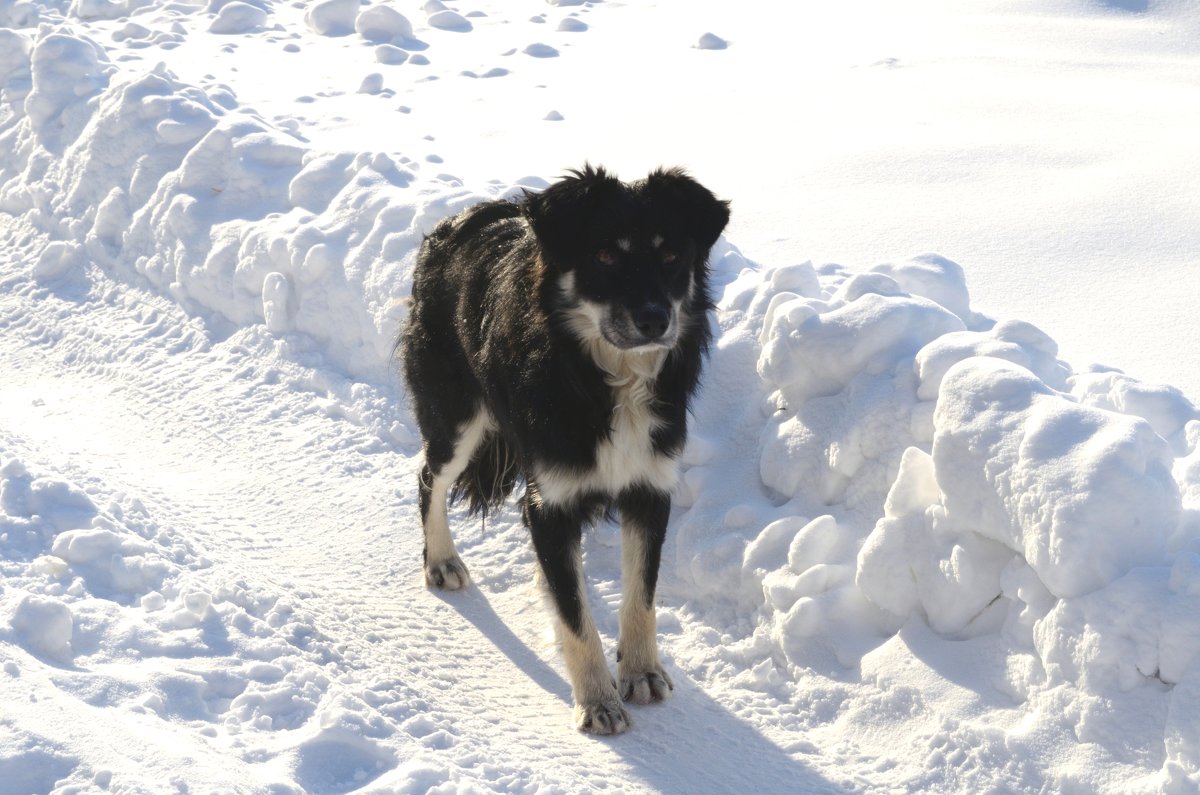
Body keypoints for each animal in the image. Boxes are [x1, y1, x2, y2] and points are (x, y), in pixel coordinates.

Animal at [398, 164, 724, 739]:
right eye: (606, 255)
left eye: (671, 257)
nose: (656, 319)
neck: (604, 378)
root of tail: (456, 222)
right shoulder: (551, 500)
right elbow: (576, 619)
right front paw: (598, 702)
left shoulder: (650, 489)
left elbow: (641, 595)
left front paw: (641, 671)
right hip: (455, 415)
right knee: (428, 479)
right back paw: (441, 560)